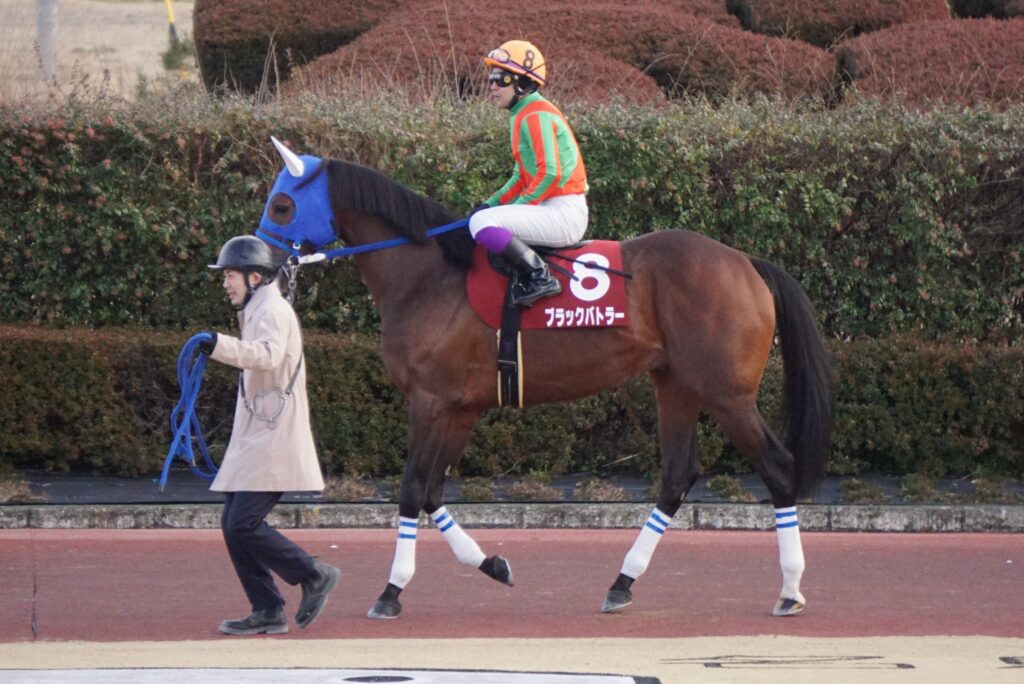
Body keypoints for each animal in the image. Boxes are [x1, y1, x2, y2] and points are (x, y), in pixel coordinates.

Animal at [256, 138, 834, 620]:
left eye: (281, 205)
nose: (258, 259)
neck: (428, 279)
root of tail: (745, 261)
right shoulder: (460, 408)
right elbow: (433, 492)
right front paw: (491, 565)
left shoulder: (429, 401)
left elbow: (411, 490)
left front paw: (391, 591)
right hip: (676, 384)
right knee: (677, 475)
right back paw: (622, 583)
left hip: (727, 394)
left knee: (777, 468)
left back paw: (790, 589)